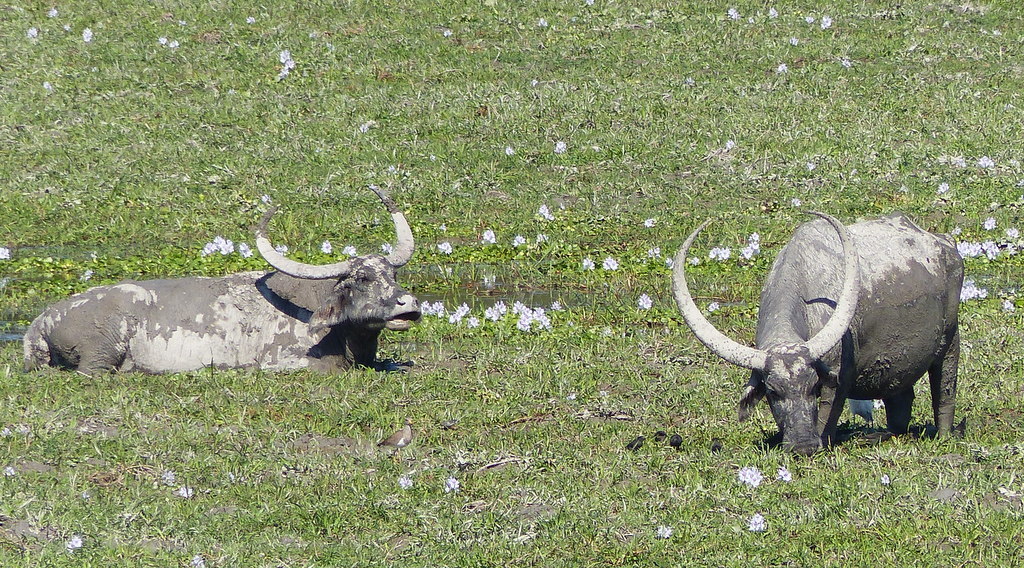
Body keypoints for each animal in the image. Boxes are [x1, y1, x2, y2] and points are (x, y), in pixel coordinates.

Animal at [675, 210, 962, 456]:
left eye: (814, 386)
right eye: (773, 392)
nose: (803, 446)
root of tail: (944, 242)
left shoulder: (837, 377)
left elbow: (827, 413)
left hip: (949, 342)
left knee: (944, 390)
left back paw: (943, 434)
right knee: (900, 405)